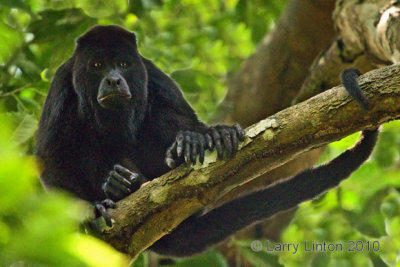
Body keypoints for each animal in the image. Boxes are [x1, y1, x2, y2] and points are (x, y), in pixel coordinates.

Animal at [36, 24, 376, 258]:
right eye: (96, 66)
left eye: (123, 64)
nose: (113, 80)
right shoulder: (62, 83)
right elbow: (51, 160)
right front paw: (92, 208)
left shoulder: (152, 72)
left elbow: (184, 118)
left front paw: (201, 136)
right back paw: (118, 186)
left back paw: (184, 150)